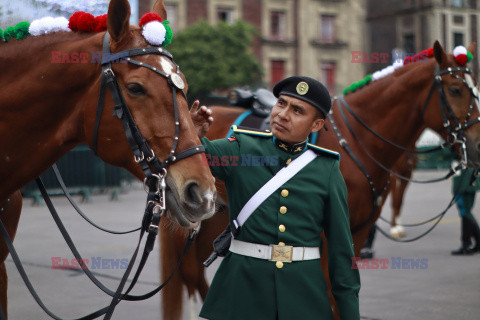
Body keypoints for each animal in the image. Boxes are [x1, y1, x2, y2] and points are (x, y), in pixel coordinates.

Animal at [161, 41, 480, 318]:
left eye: (474, 89)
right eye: (455, 89)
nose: (476, 143)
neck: (356, 139)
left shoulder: (355, 230)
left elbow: (342, 290)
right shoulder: (326, 235)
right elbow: (328, 294)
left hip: (217, 216)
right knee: (190, 273)